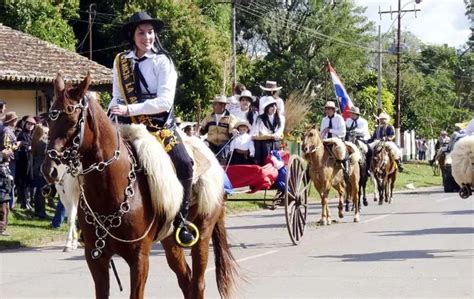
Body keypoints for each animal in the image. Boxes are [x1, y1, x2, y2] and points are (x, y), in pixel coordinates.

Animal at [42, 73, 239, 299]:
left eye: (72, 120)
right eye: (49, 119)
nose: (50, 169)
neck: (110, 192)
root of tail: (213, 160)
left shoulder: (139, 258)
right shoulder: (95, 257)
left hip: (203, 235)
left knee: (197, 283)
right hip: (170, 241)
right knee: (186, 280)